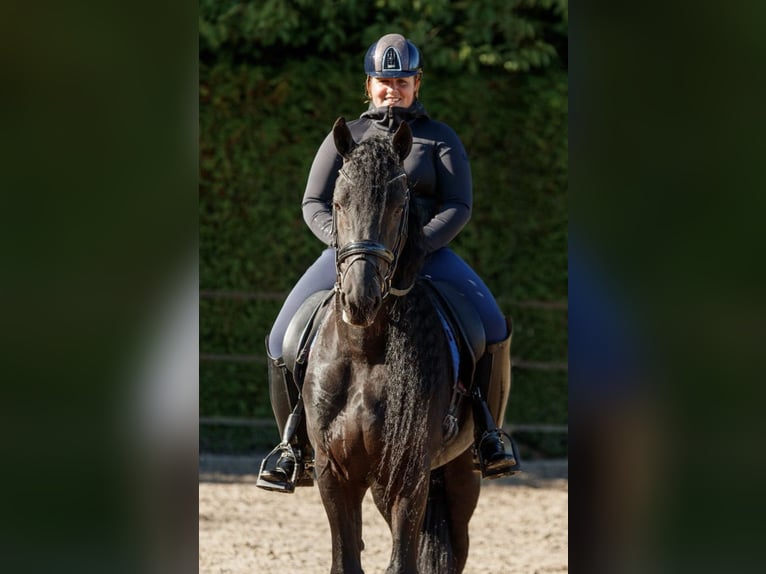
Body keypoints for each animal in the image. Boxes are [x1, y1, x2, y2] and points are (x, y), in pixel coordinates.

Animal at [304, 118, 484, 574]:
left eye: (400, 206)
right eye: (337, 202)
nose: (360, 299)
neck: (364, 350)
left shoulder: (409, 471)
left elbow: (403, 563)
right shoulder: (333, 471)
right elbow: (346, 560)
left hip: (459, 475)